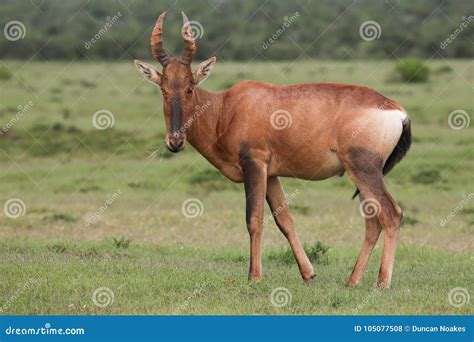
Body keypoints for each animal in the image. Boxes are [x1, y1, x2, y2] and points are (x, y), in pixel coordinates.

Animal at [134, 12, 412, 288]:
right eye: (163, 89)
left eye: (190, 87)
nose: (175, 142)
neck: (226, 108)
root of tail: (397, 111)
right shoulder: (272, 174)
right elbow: (284, 219)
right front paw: (308, 273)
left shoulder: (254, 164)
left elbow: (254, 219)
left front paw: (254, 276)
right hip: (361, 173)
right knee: (372, 221)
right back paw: (352, 281)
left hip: (364, 169)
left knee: (391, 214)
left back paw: (382, 283)